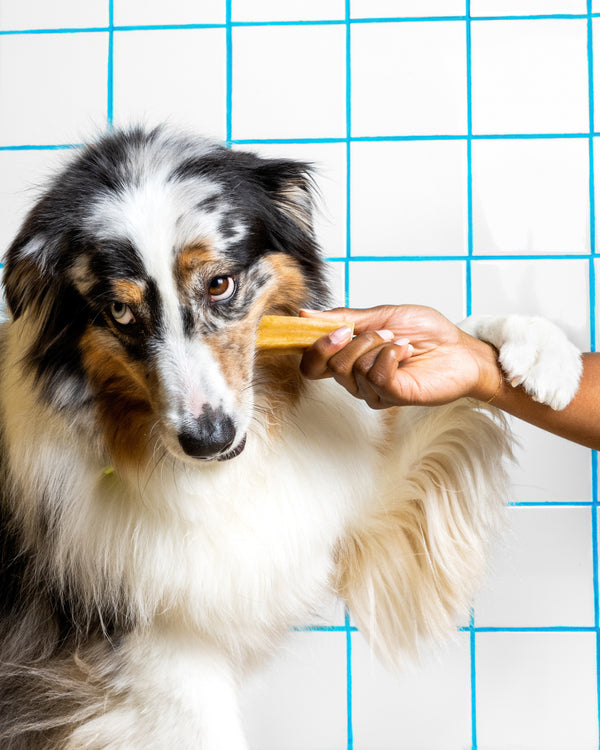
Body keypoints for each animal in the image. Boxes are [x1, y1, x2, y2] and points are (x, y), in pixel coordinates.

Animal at [0, 126, 580, 748]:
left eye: (220, 283)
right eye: (120, 312)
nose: (208, 439)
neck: (221, 478)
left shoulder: (356, 502)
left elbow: (435, 335)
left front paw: (540, 351)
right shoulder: (149, 662)